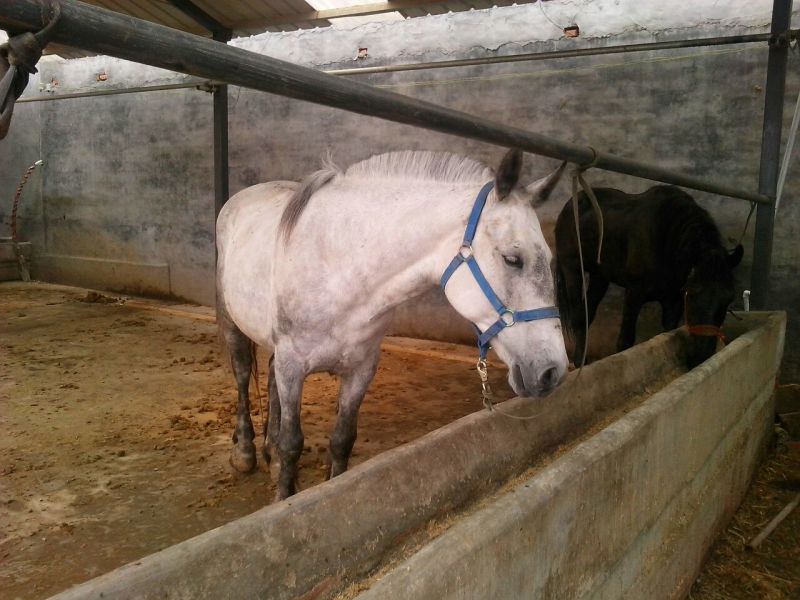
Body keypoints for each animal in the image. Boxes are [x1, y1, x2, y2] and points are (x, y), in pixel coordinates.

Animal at [216, 149, 569, 500]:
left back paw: (269, 452)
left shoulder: (361, 369)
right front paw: (283, 496)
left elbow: (342, 439)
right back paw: (245, 452)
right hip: (233, 325)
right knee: (243, 375)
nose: (553, 372)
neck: (340, 269)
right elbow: (293, 443)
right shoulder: (292, 366)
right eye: (513, 259)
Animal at [554, 184, 743, 369]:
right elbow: (625, 342)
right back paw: (580, 362)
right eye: (692, 295)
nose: (701, 357)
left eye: (728, 299)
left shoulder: (673, 301)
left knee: (588, 312)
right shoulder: (634, 294)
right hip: (572, 269)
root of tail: (571, 203)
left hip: (599, 276)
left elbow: (666, 334)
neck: (665, 241)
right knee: (578, 316)